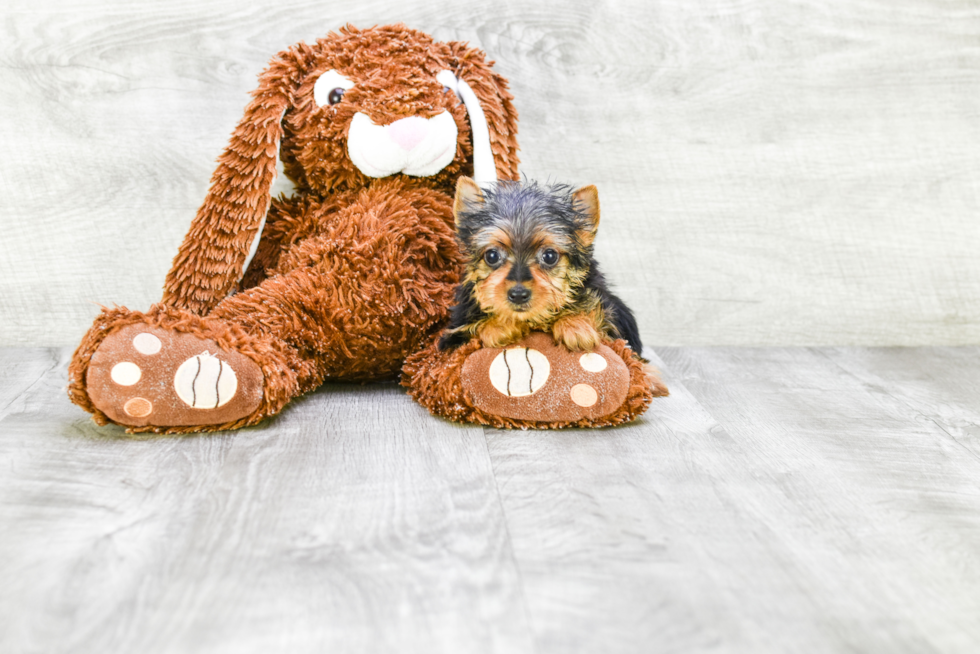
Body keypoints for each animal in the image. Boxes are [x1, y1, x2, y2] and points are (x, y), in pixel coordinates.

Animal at [438, 177, 644, 356]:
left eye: (549, 256)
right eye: (492, 256)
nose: (518, 294)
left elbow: (595, 308)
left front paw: (575, 325)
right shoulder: (453, 335)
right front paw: (499, 325)